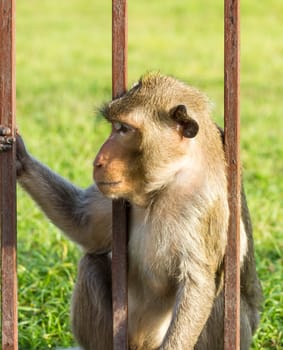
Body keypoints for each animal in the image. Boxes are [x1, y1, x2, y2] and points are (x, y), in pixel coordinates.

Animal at [0, 72, 262, 348]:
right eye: (115, 126)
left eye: (124, 129)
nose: (98, 161)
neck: (167, 184)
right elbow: (85, 225)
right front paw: (20, 158)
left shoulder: (203, 204)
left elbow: (198, 284)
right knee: (91, 262)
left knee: (222, 298)